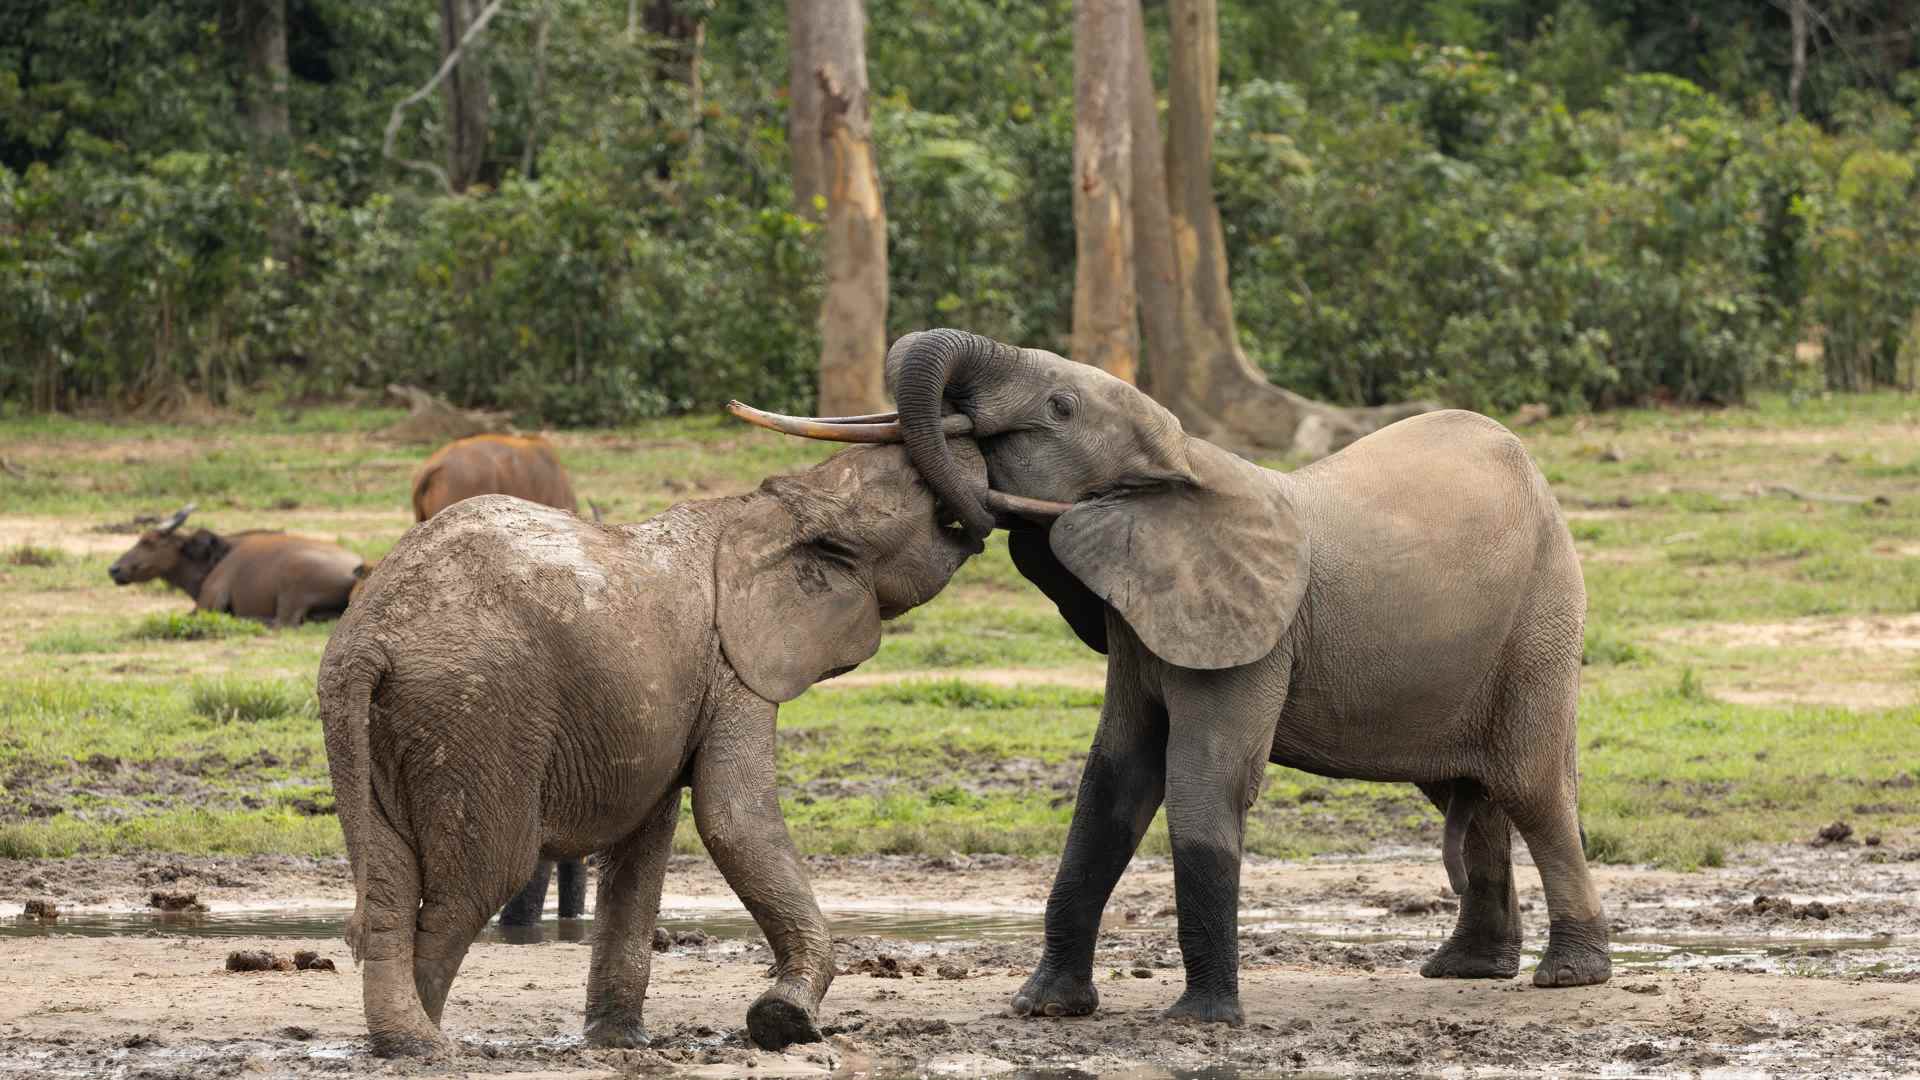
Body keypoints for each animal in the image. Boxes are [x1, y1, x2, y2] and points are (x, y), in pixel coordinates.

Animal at [316, 443, 996, 1057]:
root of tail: (370, 635)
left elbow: (644, 844)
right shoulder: (734, 667)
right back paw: (427, 1046)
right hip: (476, 712)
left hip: (378, 726)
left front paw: (620, 1043)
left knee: (390, 884)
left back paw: (403, 1043)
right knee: (474, 885)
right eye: (922, 490)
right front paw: (785, 1021)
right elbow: (733, 819)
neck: (777, 505)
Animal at [727, 328, 1609, 1029]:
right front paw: (1043, 1008)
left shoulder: (1250, 637)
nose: (966, 515)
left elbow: (1200, 780)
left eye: (1059, 407)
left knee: (1530, 786)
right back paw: (1466, 968)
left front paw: (1200, 1021)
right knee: (1467, 789)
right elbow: (1111, 784)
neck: (1182, 464)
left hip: (1542, 618)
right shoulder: (1138, 621)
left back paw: (1566, 975)